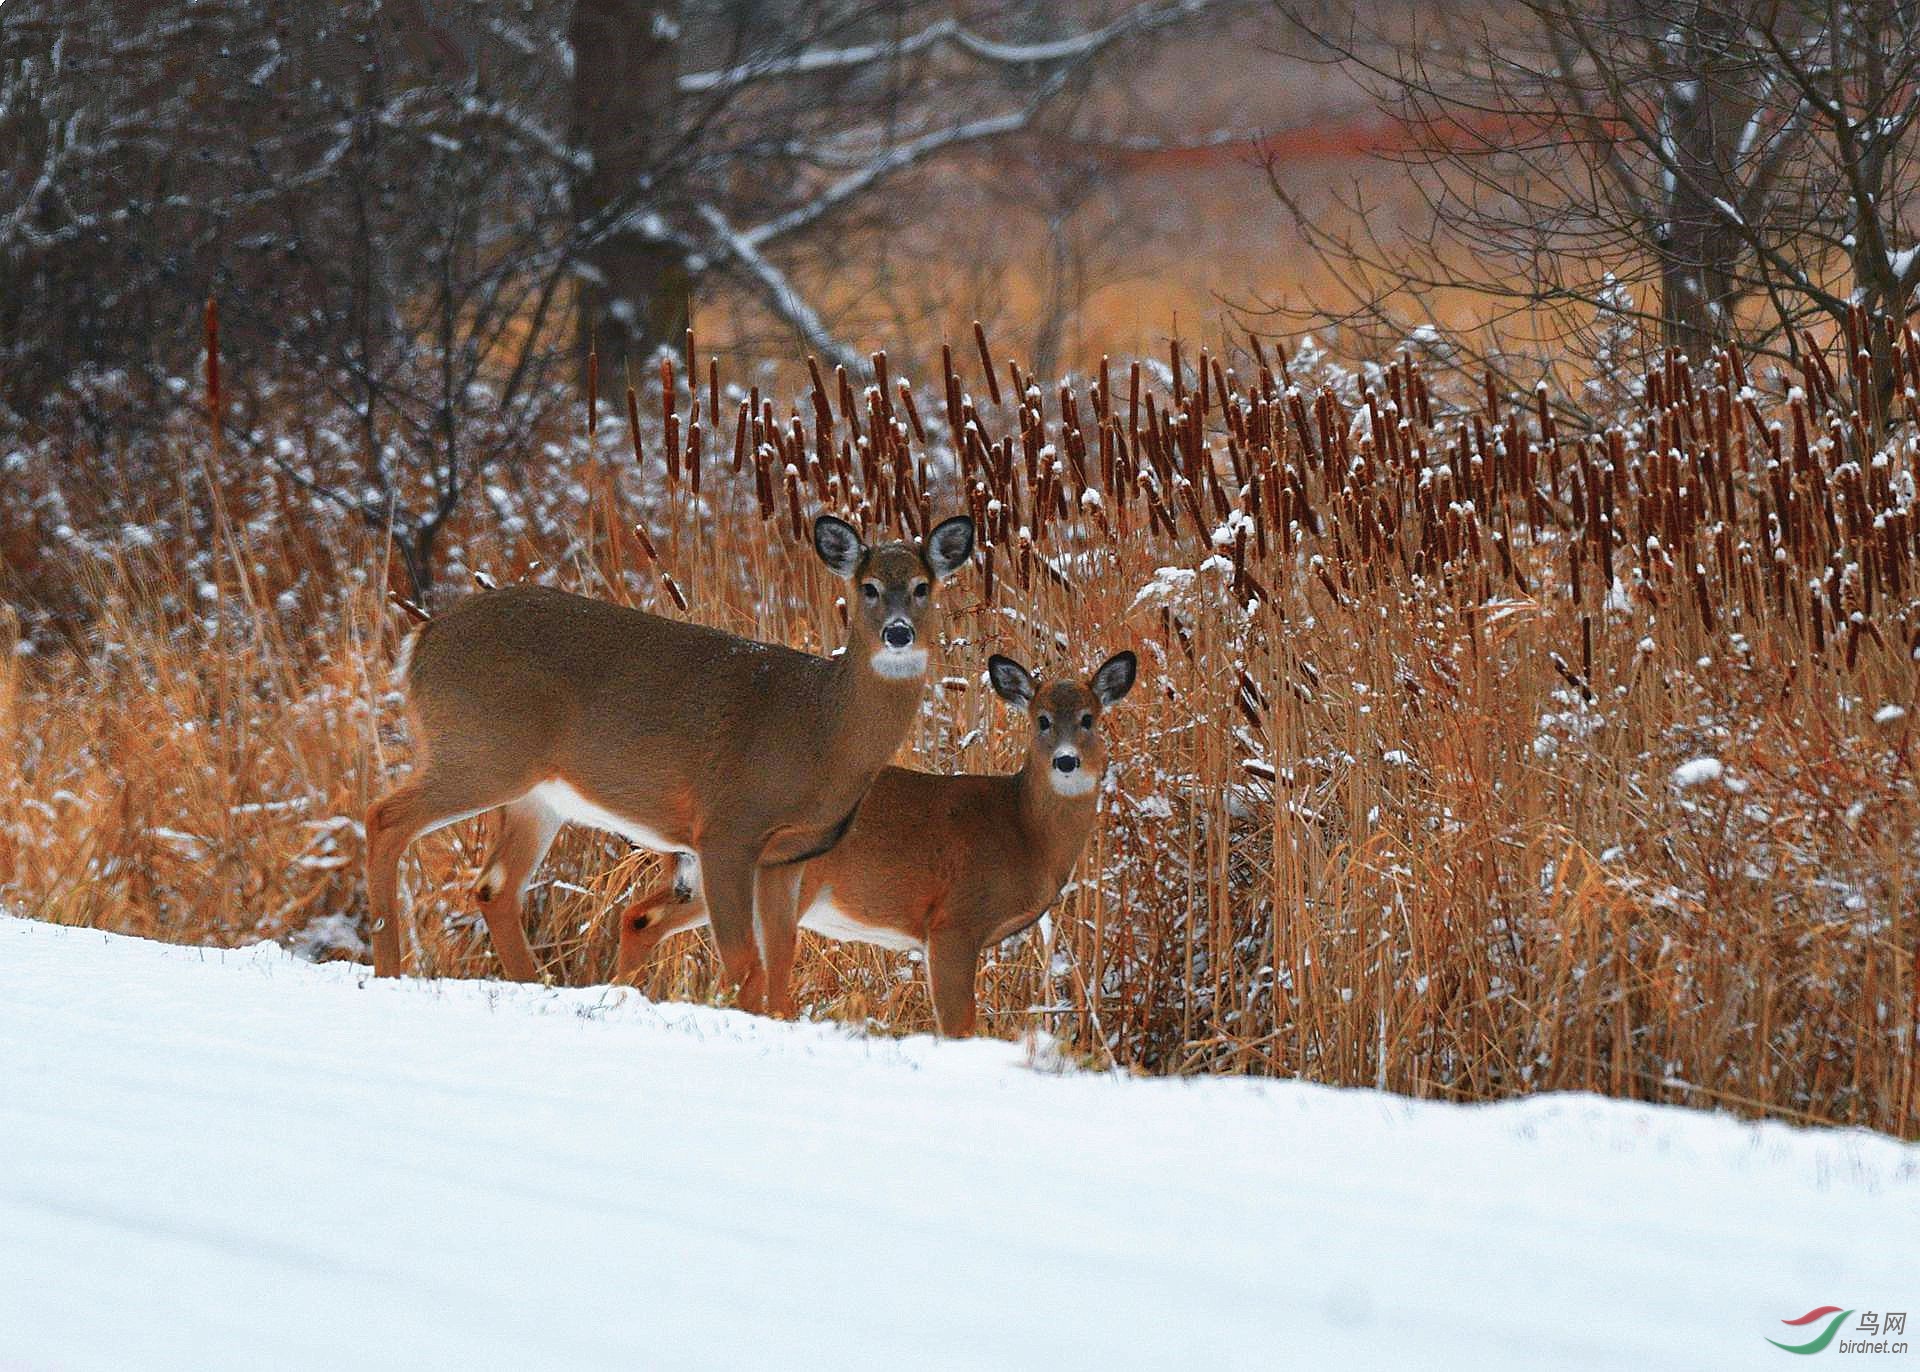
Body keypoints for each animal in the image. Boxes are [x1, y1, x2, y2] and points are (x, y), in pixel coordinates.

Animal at [364, 514, 975, 1005]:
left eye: (923, 587)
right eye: (867, 587)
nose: (899, 632)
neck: (821, 731)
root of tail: (422, 638)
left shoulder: (790, 854)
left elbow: (780, 965)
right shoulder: (727, 828)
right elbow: (746, 964)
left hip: (537, 795)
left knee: (494, 885)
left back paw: (537, 984)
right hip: (482, 751)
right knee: (384, 817)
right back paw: (389, 968)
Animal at [614, 648, 1128, 1036]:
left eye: (1089, 719)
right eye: (1042, 720)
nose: (1066, 761)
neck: (1024, 832)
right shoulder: (953, 921)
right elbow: (958, 1025)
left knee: (641, 916)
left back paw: (619, 993)